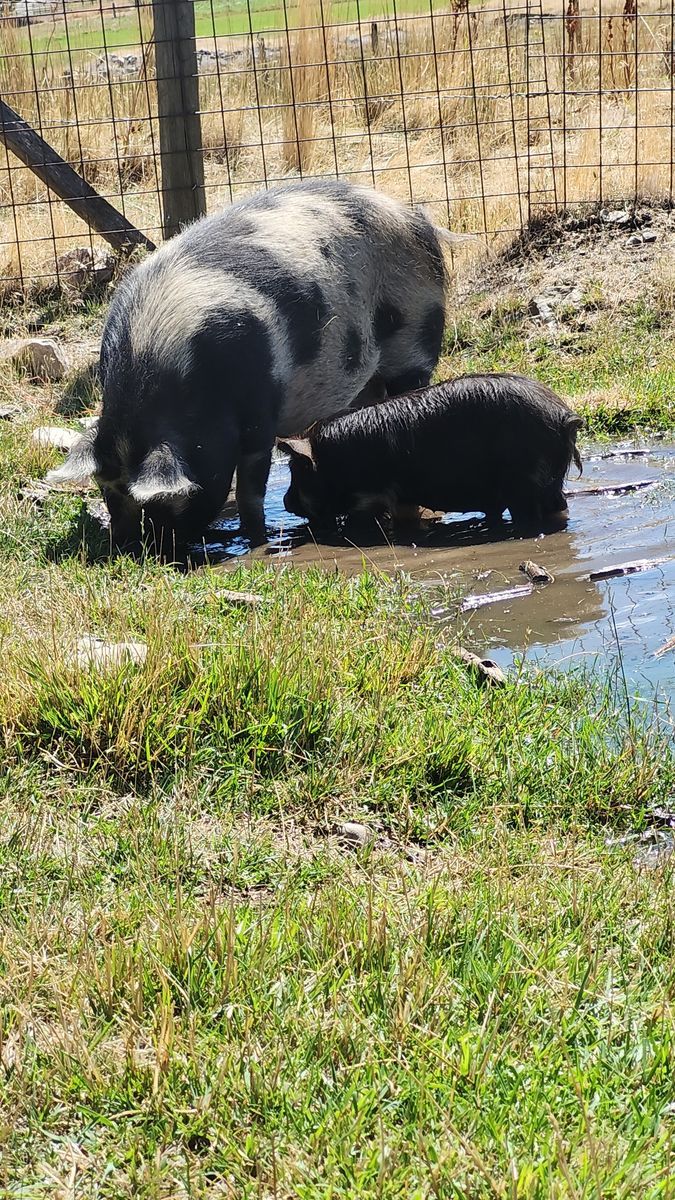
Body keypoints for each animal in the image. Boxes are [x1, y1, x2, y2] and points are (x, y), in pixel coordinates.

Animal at [47, 179, 453, 556]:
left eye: (166, 502)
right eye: (108, 491)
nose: (130, 549)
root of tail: (412, 217)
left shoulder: (260, 413)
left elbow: (250, 490)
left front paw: (255, 539)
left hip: (415, 330)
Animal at [279, 373, 583, 529]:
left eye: (298, 469)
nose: (285, 501)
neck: (335, 461)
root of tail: (564, 417)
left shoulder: (371, 496)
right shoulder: (402, 499)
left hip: (524, 481)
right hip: (547, 482)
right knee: (559, 507)